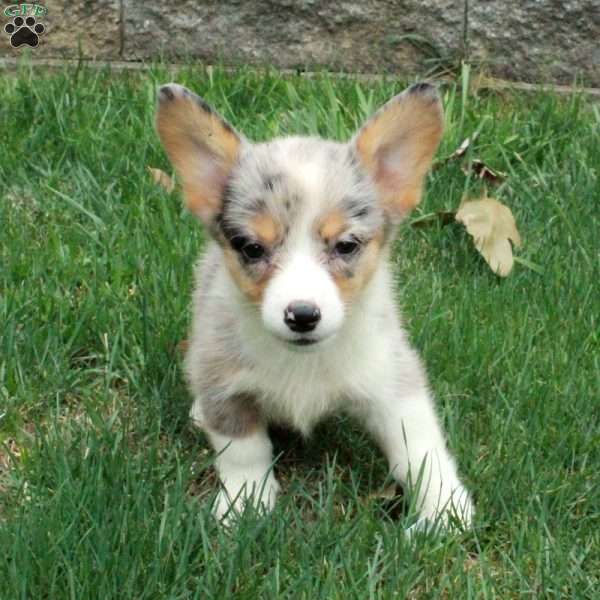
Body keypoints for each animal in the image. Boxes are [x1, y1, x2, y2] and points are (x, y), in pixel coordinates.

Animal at [156, 82, 474, 528]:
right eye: (251, 248)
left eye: (347, 245)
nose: (302, 316)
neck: (301, 361)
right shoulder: (225, 384)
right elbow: (244, 452)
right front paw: (246, 502)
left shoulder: (392, 379)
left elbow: (419, 449)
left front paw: (445, 510)